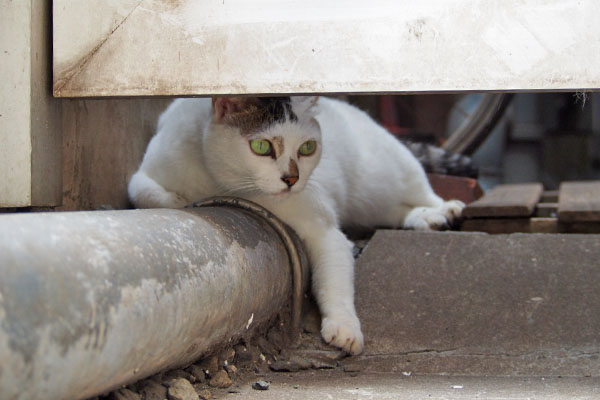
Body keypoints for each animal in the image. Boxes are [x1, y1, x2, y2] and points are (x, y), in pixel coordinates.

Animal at [127, 95, 464, 354]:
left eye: (307, 148)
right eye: (262, 147)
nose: (292, 179)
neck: (222, 184)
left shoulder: (323, 229)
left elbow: (334, 281)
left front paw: (344, 327)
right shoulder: (144, 173)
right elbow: (145, 192)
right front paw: (180, 200)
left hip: (391, 172)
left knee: (421, 191)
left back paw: (444, 210)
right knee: (396, 211)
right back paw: (424, 218)